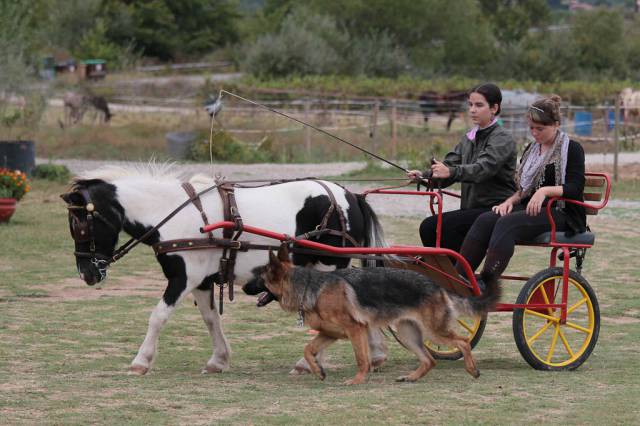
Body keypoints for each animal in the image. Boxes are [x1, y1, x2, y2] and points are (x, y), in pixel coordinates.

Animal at [62, 165, 388, 374]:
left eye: (80, 226)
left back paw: (308, 361)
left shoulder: (184, 277)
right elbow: (210, 319)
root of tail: (349, 196)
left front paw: (141, 361)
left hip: (329, 264)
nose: (87, 274)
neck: (173, 215)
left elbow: (158, 316)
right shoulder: (203, 280)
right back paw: (375, 354)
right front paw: (219, 359)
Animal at [245, 245, 500, 384]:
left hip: (434, 332)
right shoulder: (330, 334)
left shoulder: (355, 329)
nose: (244, 287)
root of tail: (437, 285)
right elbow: (308, 349)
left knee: (463, 342)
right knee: (430, 360)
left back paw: (472, 369)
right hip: (408, 334)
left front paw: (356, 380)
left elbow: (362, 359)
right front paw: (318, 370)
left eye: (258, 277)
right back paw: (411, 377)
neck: (309, 287)